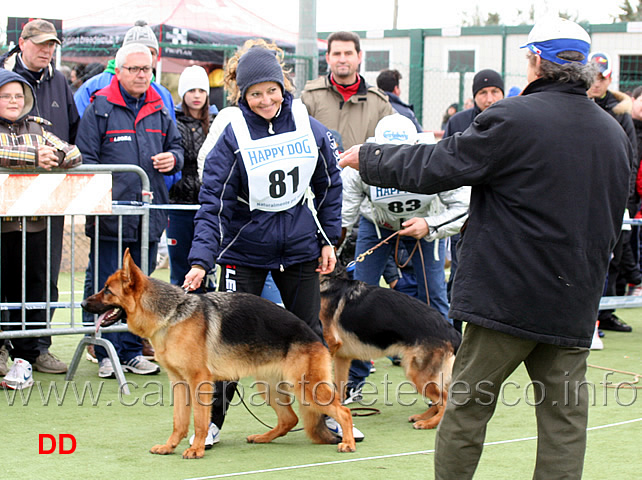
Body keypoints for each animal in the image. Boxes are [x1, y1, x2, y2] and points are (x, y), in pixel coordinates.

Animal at [80, 249, 356, 460]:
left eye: (107, 290)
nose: (82, 304)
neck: (171, 316)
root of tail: (314, 336)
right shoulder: (179, 383)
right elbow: (179, 421)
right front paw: (170, 446)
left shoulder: (199, 381)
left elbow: (200, 420)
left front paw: (196, 449)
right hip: (269, 387)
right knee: (290, 419)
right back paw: (263, 437)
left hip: (307, 388)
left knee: (343, 411)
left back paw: (348, 442)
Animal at [318, 268, 460, 430]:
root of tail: (452, 332)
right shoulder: (342, 357)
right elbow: (338, 388)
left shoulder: (329, 344)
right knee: (440, 399)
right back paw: (423, 417)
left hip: (417, 374)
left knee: (445, 399)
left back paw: (429, 423)